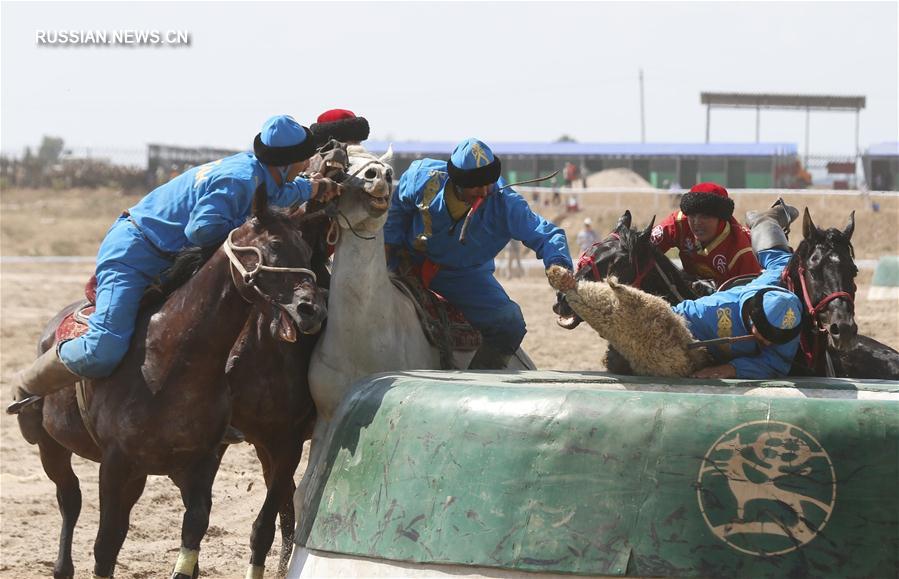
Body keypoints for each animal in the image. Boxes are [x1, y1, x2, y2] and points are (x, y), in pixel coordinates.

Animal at [16, 186, 330, 579]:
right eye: (274, 245)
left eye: (305, 249)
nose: (312, 309)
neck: (170, 363)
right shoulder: (116, 464)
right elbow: (106, 545)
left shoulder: (202, 462)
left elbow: (194, 530)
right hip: (52, 447)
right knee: (69, 499)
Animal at [288, 144, 536, 576]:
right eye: (342, 168)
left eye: (388, 169)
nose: (380, 177)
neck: (364, 331)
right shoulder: (327, 416)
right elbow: (305, 497)